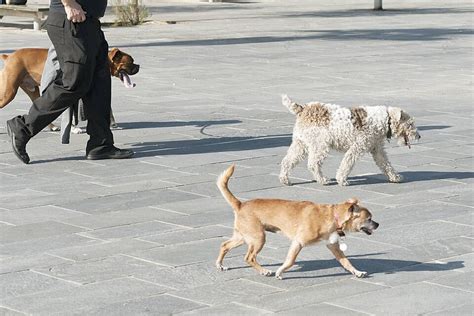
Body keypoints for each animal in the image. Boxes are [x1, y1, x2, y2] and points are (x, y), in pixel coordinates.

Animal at [0, 46, 139, 130]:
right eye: (131, 61)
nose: (138, 66)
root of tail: (9, 56)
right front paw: (73, 128)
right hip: (9, 92)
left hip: (32, 91)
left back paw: (52, 127)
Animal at [217, 165, 380, 278]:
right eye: (369, 219)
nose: (378, 224)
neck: (332, 216)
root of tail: (240, 204)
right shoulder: (298, 242)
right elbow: (290, 260)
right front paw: (280, 271)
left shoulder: (333, 246)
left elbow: (346, 262)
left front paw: (357, 272)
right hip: (258, 238)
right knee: (249, 257)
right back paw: (264, 271)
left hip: (244, 237)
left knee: (224, 245)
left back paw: (220, 265)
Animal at [280, 95, 420, 186]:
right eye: (410, 124)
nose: (419, 136)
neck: (384, 120)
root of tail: (303, 109)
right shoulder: (356, 148)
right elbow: (347, 164)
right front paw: (342, 180)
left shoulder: (377, 149)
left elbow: (386, 165)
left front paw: (395, 177)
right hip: (320, 145)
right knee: (313, 164)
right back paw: (323, 180)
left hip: (300, 144)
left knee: (287, 161)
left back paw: (285, 180)